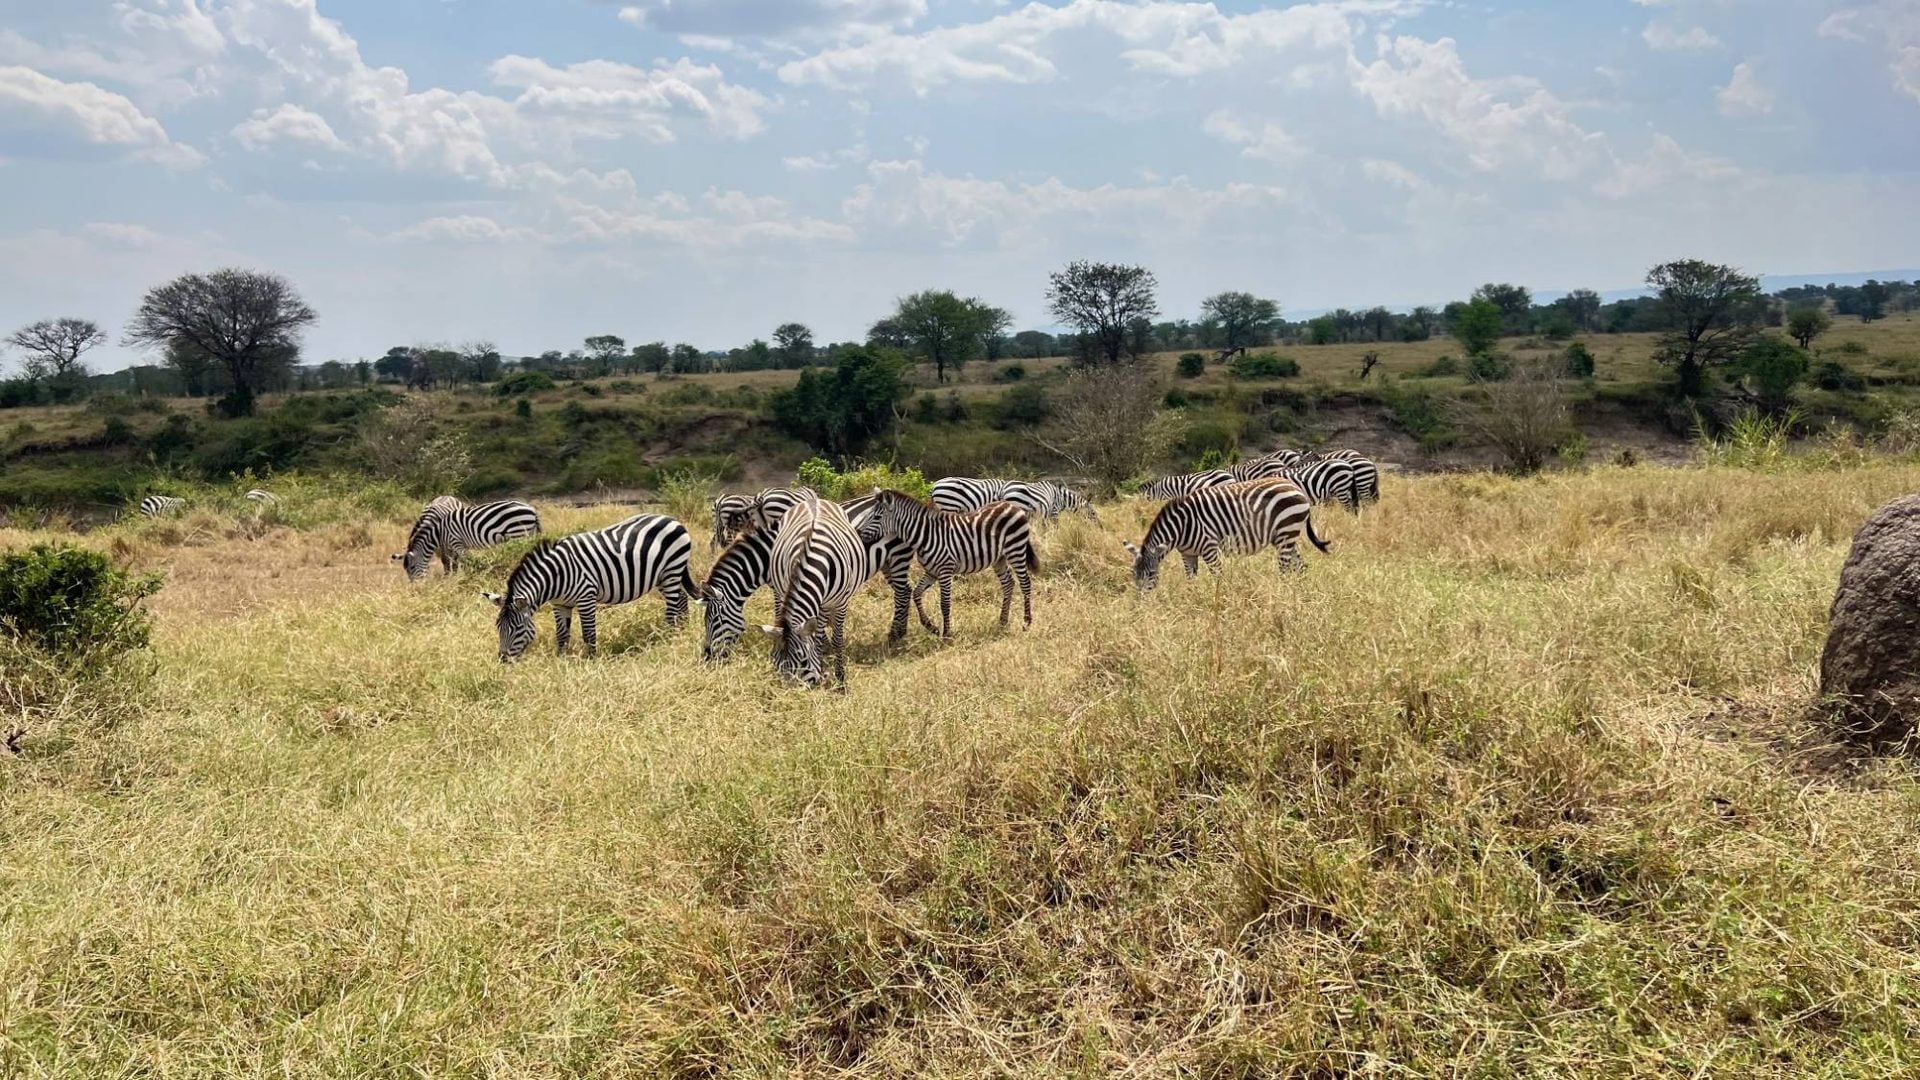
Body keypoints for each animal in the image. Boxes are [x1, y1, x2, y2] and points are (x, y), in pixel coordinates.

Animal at [394, 499, 541, 581]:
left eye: (412, 568)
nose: (416, 588)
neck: (439, 532)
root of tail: (532, 510)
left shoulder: (456, 542)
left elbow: (465, 562)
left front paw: (469, 577)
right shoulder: (452, 546)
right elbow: (452, 563)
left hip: (518, 533)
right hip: (527, 534)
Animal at [483, 513, 696, 662]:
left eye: (518, 628)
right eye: (498, 627)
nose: (503, 660)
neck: (555, 577)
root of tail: (672, 519)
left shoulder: (586, 597)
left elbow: (589, 633)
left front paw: (591, 659)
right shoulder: (559, 604)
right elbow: (562, 635)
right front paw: (562, 659)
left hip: (671, 569)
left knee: (673, 606)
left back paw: (667, 636)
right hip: (663, 575)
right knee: (682, 597)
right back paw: (682, 628)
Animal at [759, 491, 874, 689]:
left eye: (803, 661)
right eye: (776, 663)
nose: (790, 691)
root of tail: (814, 500)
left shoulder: (840, 602)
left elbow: (836, 639)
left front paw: (840, 679)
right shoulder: (788, 587)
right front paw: (823, 668)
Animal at [863, 489, 1038, 638]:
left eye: (876, 517)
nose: (861, 535)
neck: (926, 536)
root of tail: (1012, 505)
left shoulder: (945, 570)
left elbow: (944, 603)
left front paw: (947, 634)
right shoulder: (932, 571)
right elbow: (916, 593)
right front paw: (931, 626)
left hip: (1016, 550)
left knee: (1025, 583)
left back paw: (1026, 622)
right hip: (999, 558)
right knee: (1008, 583)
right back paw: (1002, 621)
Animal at [1122, 478, 1330, 590]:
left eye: (1151, 573)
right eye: (1133, 574)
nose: (1142, 604)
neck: (1181, 527)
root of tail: (1296, 487)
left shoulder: (1209, 548)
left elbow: (1217, 576)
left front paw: (1219, 599)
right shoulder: (1187, 553)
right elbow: (1191, 580)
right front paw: (1192, 599)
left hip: (1286, 533)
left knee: (1285, 570)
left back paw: (1284, 592)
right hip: (1285, 537)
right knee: (1301, 566)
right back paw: (1299, 593)